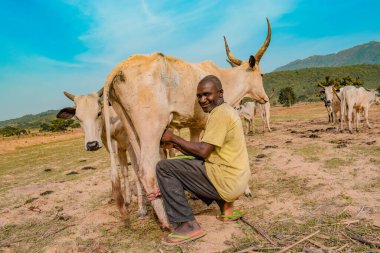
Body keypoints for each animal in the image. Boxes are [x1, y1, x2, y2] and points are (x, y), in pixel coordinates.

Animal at [56, 89, 147, 219]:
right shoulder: (117, 148)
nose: (92, 145)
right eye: (78, 117)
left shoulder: (130, 144)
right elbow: (124, 172)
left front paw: (141, 208)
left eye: (99, 113)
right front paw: (127, 199)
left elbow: (136, 173)